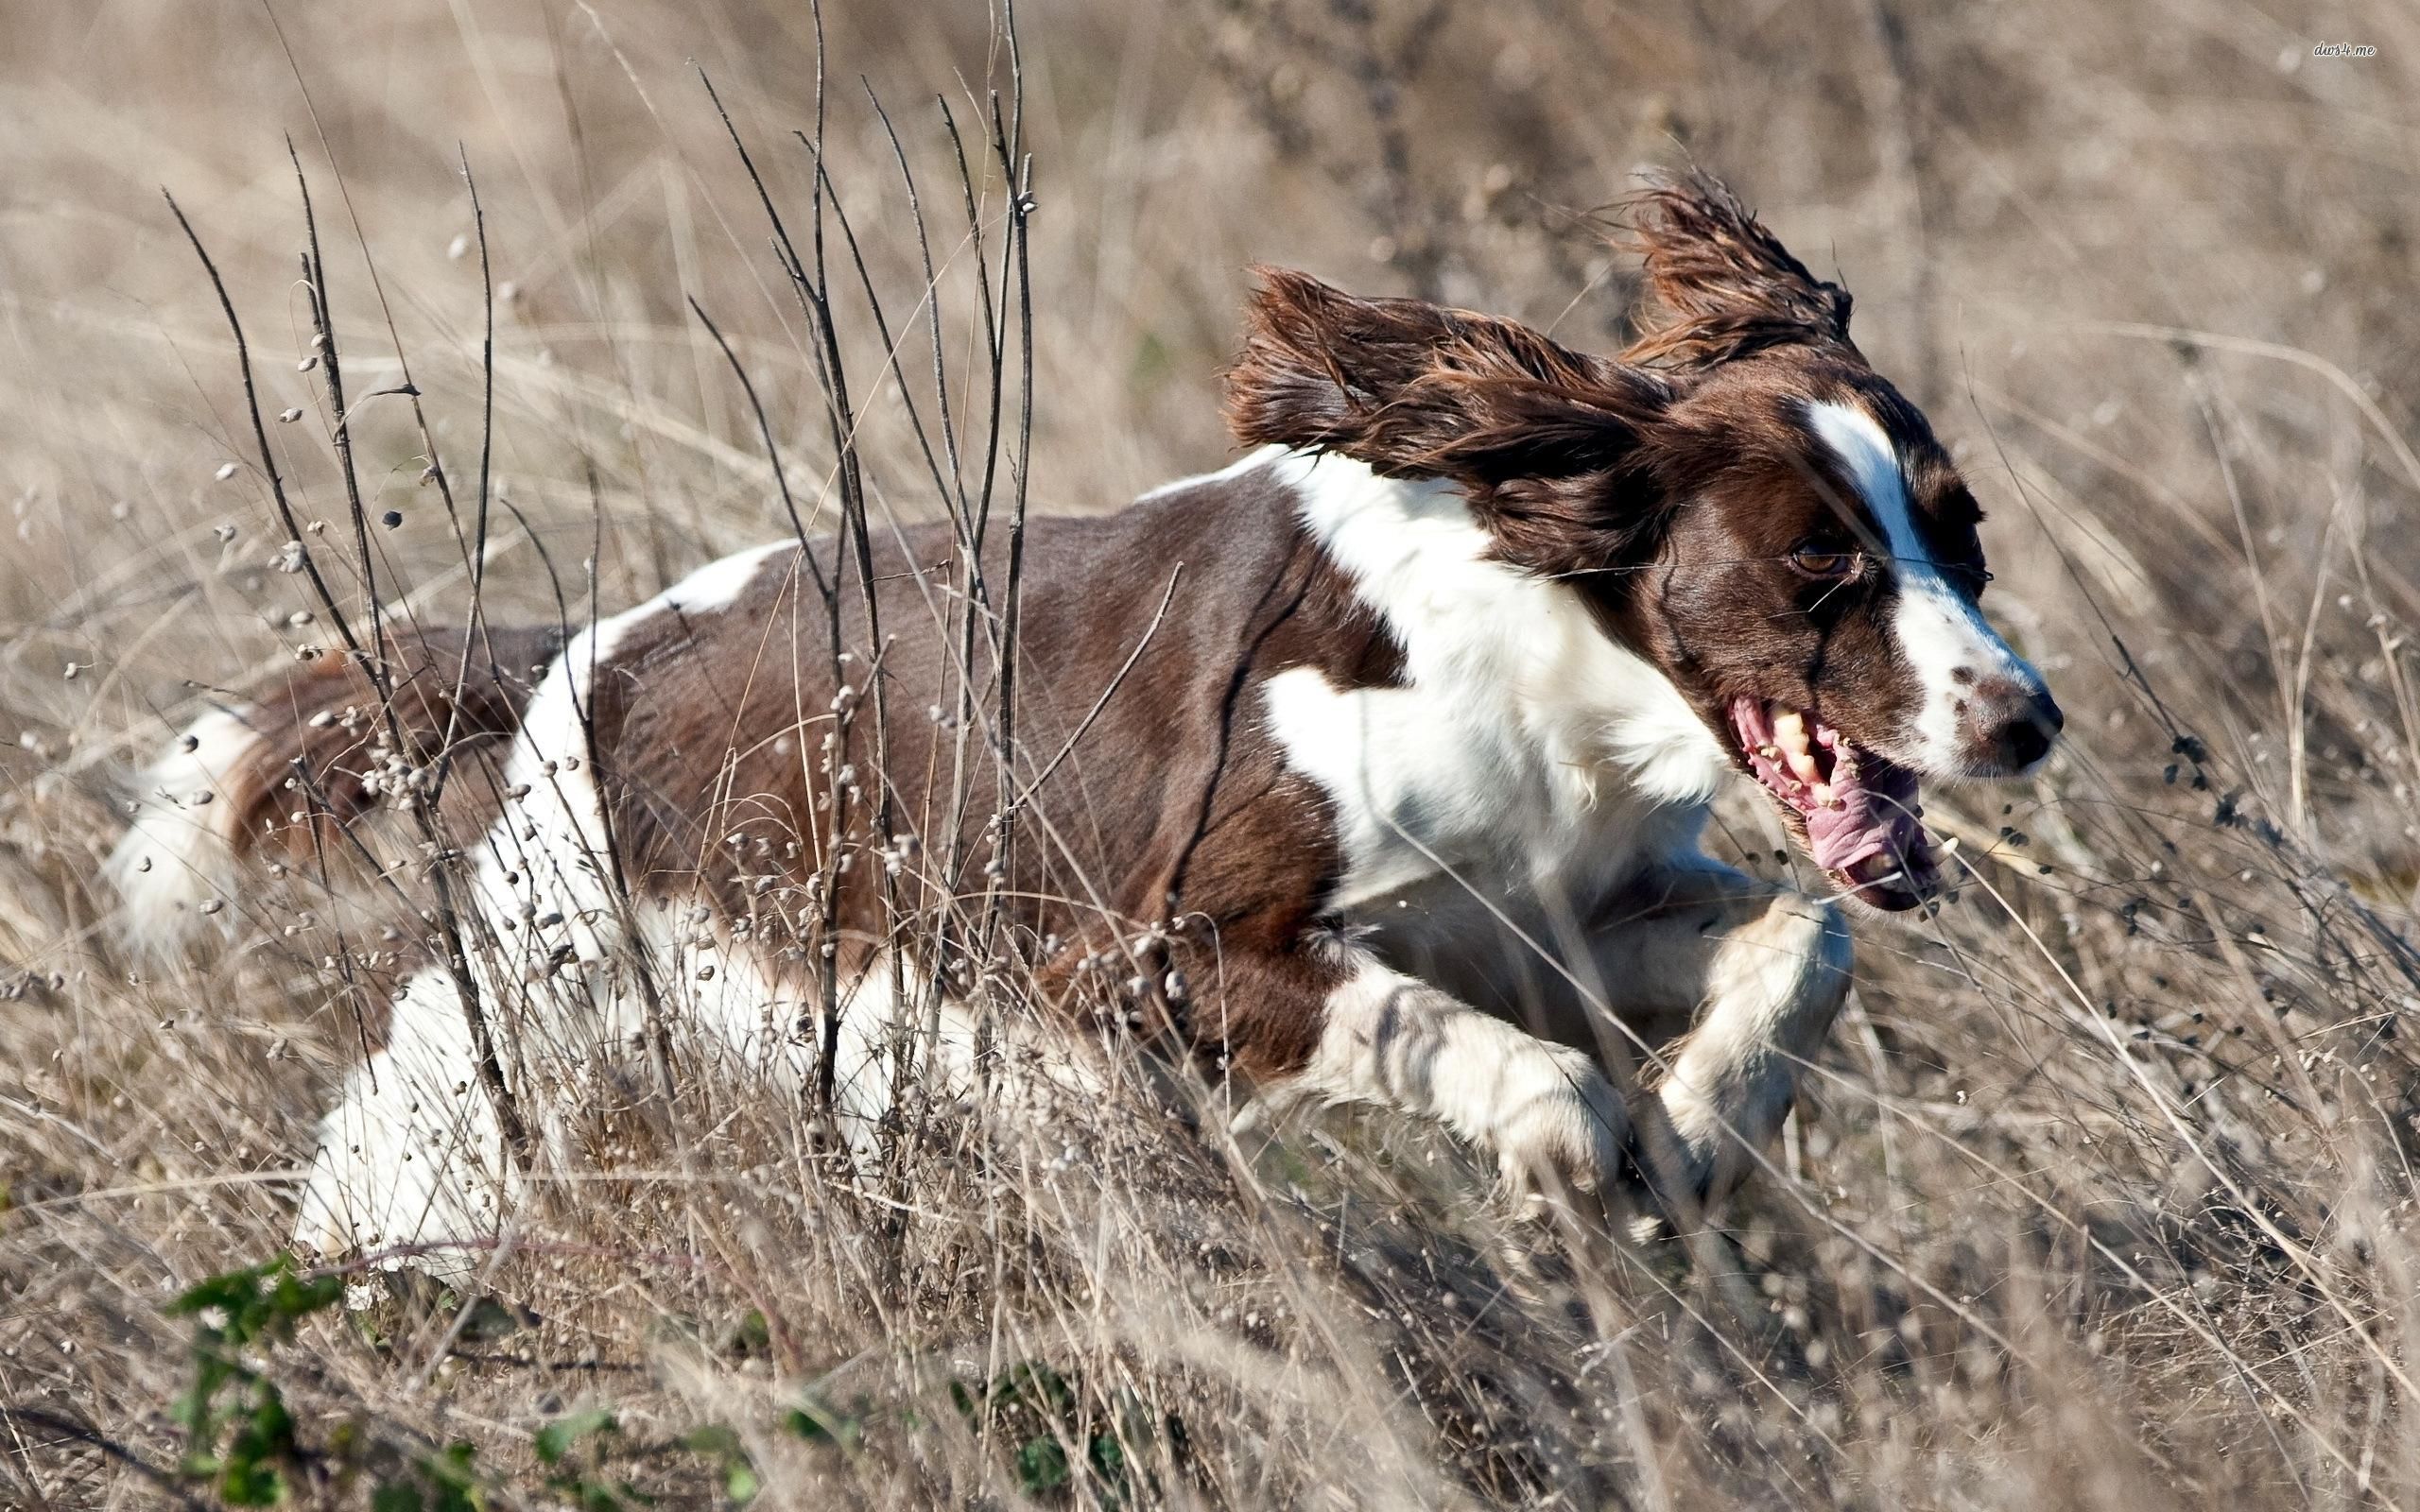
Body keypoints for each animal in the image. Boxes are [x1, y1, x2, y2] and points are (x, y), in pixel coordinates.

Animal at [113, 174, 2062, 1247]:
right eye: (1817, 566)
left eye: (1960, 527)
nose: (2024, 718)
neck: (1527, 660)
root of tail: (581, 657)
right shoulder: (1146, 956)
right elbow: (1481, 1053)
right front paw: (1569, 1148)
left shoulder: (1549, 917)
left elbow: (1807, 935)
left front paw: (1705, 1125)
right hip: (536, 1013)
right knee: (398, 1171)